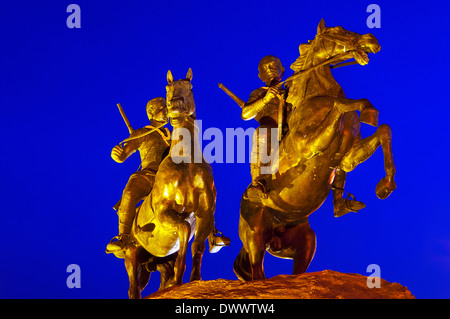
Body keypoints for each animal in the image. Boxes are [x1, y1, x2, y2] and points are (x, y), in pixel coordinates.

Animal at [234, 19, 396, 282]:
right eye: (337, 30)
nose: (371, 39)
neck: (317, 97)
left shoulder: (349, 154)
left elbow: (383, 131)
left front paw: (385, 186)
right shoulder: (308, 145)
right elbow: (342, 103)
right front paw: (366, 108)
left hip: (304, 241)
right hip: (255, 237)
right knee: (257, 273)